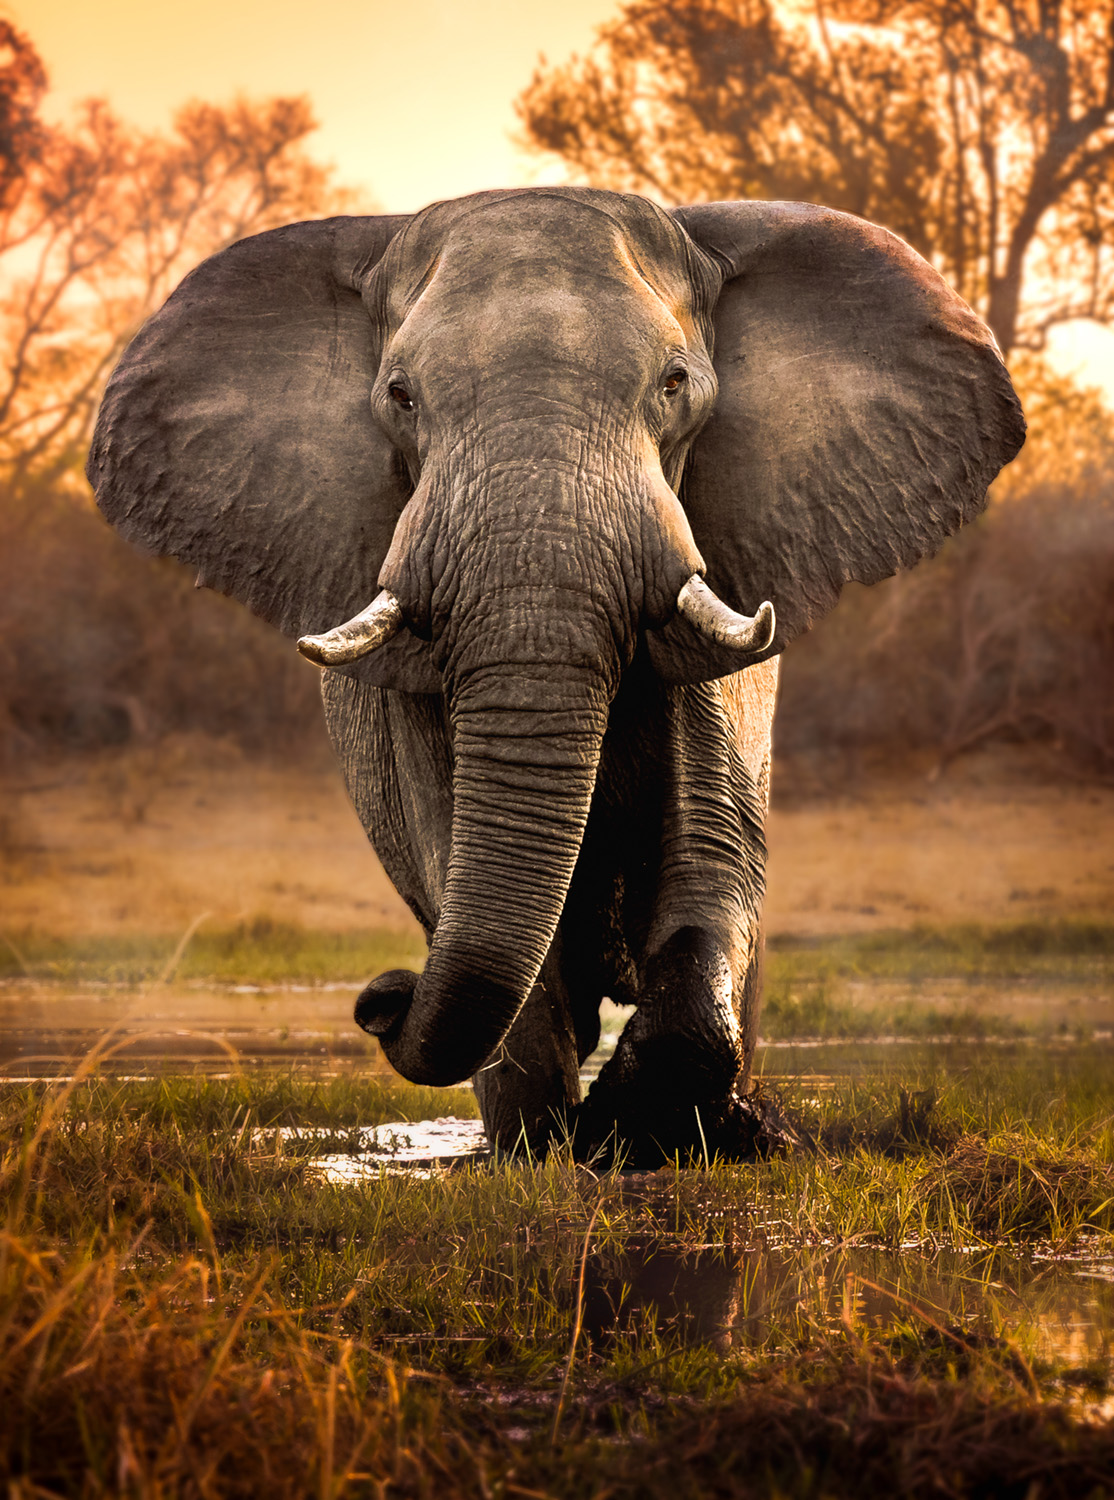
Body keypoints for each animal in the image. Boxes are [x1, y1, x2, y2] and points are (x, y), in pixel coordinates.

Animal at [87, 187, 1024, 1161]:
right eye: (400, 397)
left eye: (674, 385)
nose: (381, 999)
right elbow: (462, 865)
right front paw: (544, 1157)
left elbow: (713, 855)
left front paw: (642, 1132)